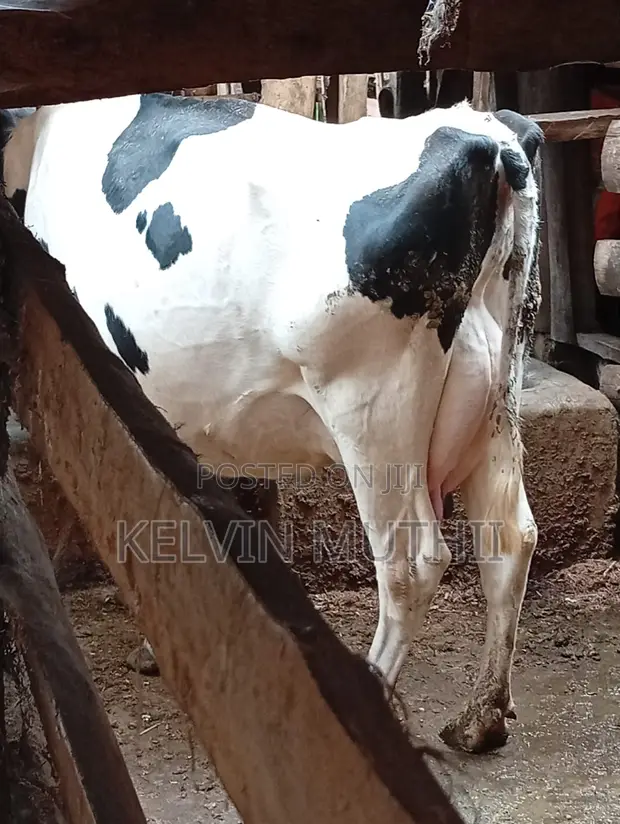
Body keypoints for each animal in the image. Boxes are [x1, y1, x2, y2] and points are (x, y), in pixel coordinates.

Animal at [1, 93, 543, 753]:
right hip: (496, 401)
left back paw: (375, 698)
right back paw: (480, 717)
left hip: (372, 411)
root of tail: (487, 137)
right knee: (509, 536)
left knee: (411, 563)